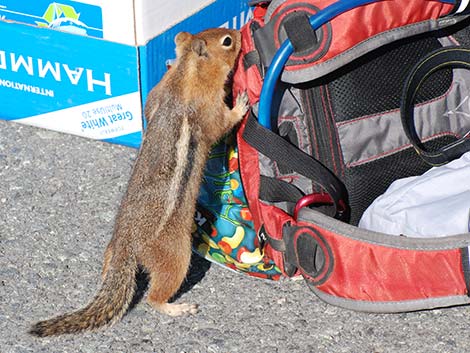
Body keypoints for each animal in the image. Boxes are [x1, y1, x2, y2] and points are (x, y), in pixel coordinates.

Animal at [29, 27, 250, 336]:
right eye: (227, 41)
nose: (239, 32)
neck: (185, 74)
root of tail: (126, 245)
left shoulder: (157, 93)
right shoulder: (207, 108)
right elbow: (220, 124)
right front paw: (240, 105)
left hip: (112, 253)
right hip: (176, 254)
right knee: (154, 296)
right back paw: (175, 307)